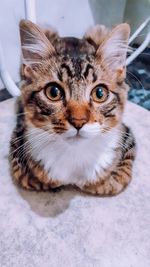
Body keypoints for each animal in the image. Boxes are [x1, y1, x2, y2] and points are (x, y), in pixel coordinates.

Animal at [9, 20, 136, 197]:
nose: (78, 121)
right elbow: (39, 180)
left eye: (99, 93)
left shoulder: (127, 137)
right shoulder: (18, 144)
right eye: (53, 92)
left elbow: (115, 180)